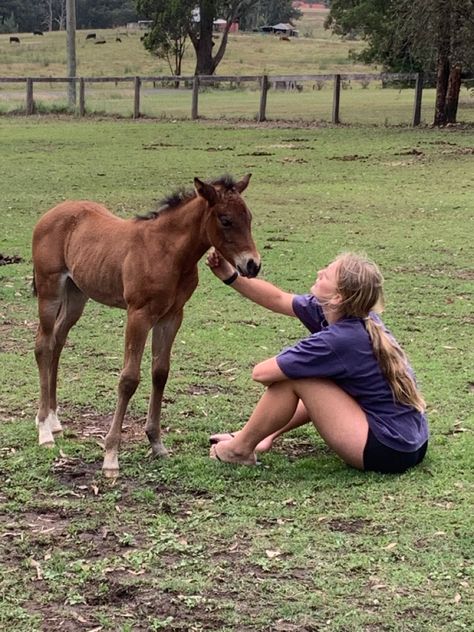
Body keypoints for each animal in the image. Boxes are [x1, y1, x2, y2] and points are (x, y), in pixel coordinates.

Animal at [31, 173, 262, 474]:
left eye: (249, 217)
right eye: (225, 220)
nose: (253, 265)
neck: (167, 253)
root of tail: (51, 213)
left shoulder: (172, 316)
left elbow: (160, 373)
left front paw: (156, 443)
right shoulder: (138, 315)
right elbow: (129, 379)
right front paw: (111, 456)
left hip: (76, 294)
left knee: (58, 341)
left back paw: (55, 421)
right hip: (49, 291)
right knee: (43, 345)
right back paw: (44, 429)